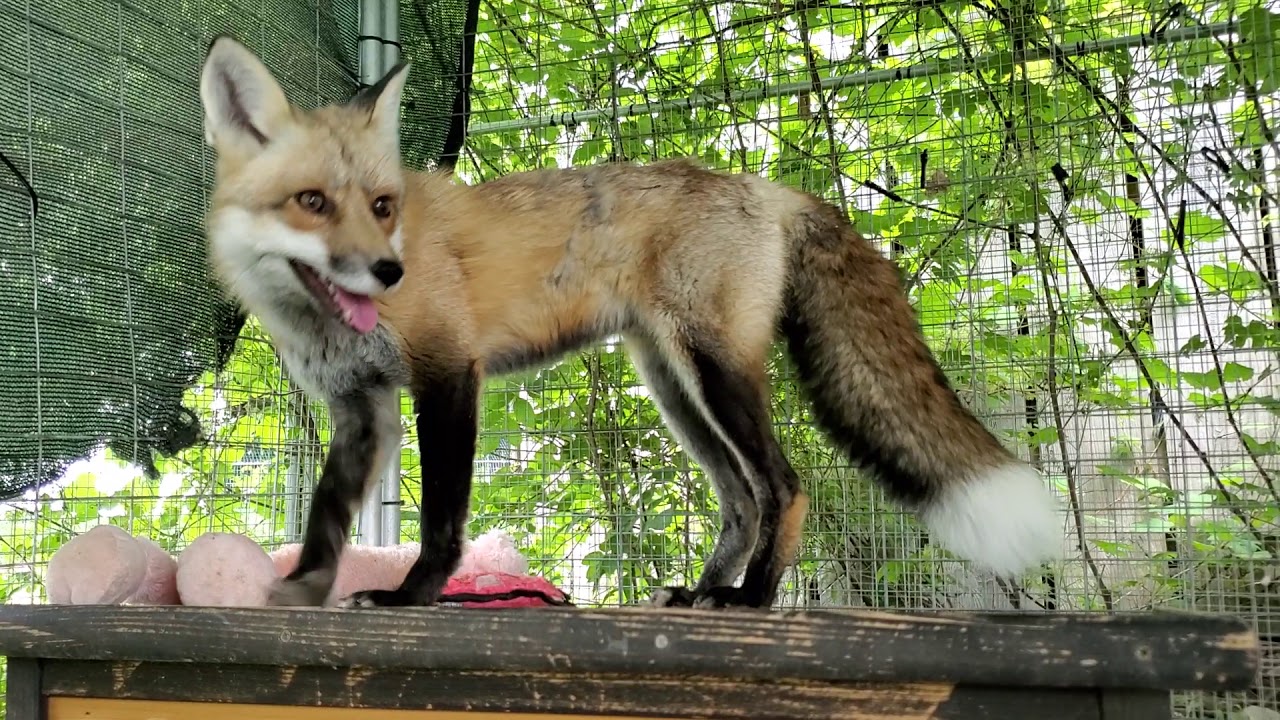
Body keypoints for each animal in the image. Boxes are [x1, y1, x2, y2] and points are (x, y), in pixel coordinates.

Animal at [197, 36, 1062, 610]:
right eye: (312, 202)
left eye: (382, 206)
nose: (389, 272)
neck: (321, 325)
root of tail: (767, 189)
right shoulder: (361, 407)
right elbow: (327, 517)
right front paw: (301, 592)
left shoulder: (448, 373)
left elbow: (443, 514)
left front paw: (411, 596)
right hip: (672, 384)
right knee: (741, 501)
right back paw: (705, 594)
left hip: (713, 369)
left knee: (785, 487)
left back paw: (752, 602)